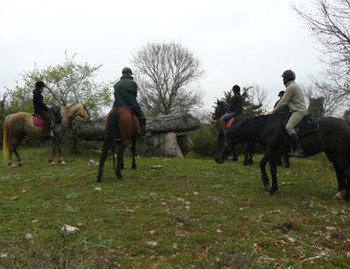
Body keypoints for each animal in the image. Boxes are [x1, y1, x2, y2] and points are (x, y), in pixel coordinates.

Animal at [215, 111, 350, 201]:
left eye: (221, 141)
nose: (217, 158)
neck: (265, 126)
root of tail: (346, 124)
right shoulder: (270, 151)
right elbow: (262, 164)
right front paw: (266, 183)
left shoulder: (272, 151)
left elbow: (273, 169)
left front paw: (272, 189)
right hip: (332, 155)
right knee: (339, 171)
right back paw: (339, 192)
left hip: (339, 155)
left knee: (345, 171)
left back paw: (346, 197)